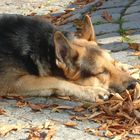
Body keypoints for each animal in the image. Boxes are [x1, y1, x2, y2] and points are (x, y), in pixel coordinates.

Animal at [0, 13, 138, 101]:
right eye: (101, 73)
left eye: (113, 64)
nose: (134, 84)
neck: (46, 50)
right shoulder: (13, 81)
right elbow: (55, 80)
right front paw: (92, 91)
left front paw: (125, 66)